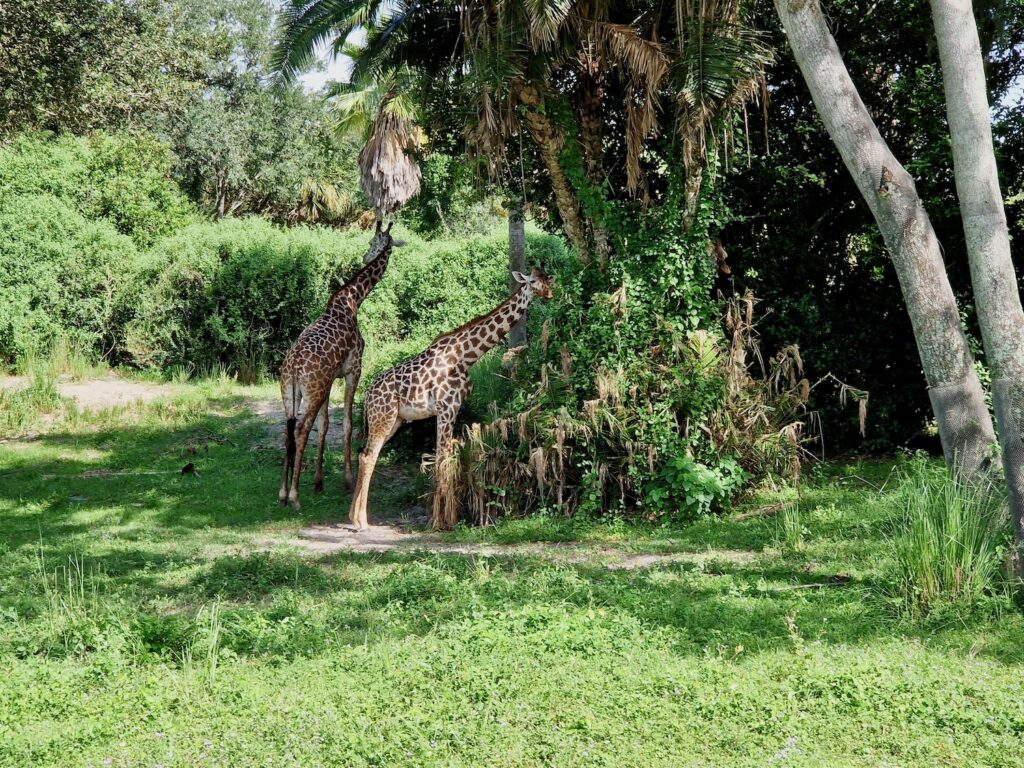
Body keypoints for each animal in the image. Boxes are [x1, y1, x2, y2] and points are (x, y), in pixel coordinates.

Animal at [280, 222, 399, 512]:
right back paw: (294, 496)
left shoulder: (330, 379)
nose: (367, 257)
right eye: (373, 241)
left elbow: (325, 426)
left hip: (291, 393)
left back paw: (282, 493)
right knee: (300, 430)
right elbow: (345, 423)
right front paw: (347, 479)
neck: (353, 299)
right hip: (312, 392)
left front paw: (319, 481)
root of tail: (294, 369)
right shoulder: (352, 370)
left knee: (287, 431)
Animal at [346, 268, 557, 532]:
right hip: (382, 417)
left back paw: (354, 518)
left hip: (394, 421)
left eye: (547, 279)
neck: (467, 356)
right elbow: (440, 459)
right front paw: (439, 522)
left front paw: (446, 518)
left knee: (366, 455)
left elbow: (446, 458)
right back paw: (362, 521)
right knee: (368, 456)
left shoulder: (452, 409)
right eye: (532, 281)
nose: (549, 293)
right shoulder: (446, 408)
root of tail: (367, 395)